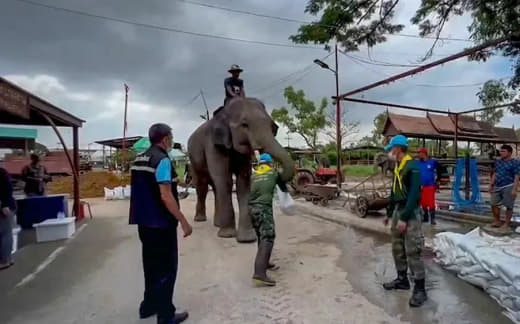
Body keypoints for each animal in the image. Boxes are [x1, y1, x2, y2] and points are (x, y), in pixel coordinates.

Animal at [188, 97, 294, 242]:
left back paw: (218, 224)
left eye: (272, 126)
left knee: (215, 187)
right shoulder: (213, 145)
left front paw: (247, 239)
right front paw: (227, 235)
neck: (225, 112)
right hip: (192, 159)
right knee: (202, 185)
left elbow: (243, 182)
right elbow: (225, 179)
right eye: (244, 125)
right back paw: (200, 219)